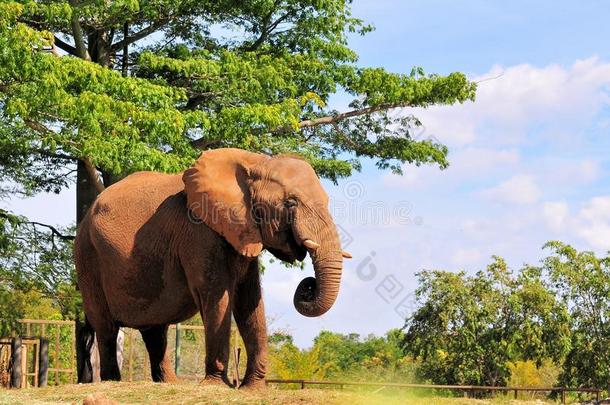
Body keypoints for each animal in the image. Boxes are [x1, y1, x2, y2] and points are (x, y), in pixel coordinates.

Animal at [75, 147, 352, 386]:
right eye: (291, 203)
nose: (308, 285)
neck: (255, 163)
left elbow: (249, 300)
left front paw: (253, 389)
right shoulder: (198, 232)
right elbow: (216, 294)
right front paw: (217, 385)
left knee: (155, 330)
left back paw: (170, 383)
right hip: (87, 255)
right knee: (106, 326)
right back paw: (112, 381)